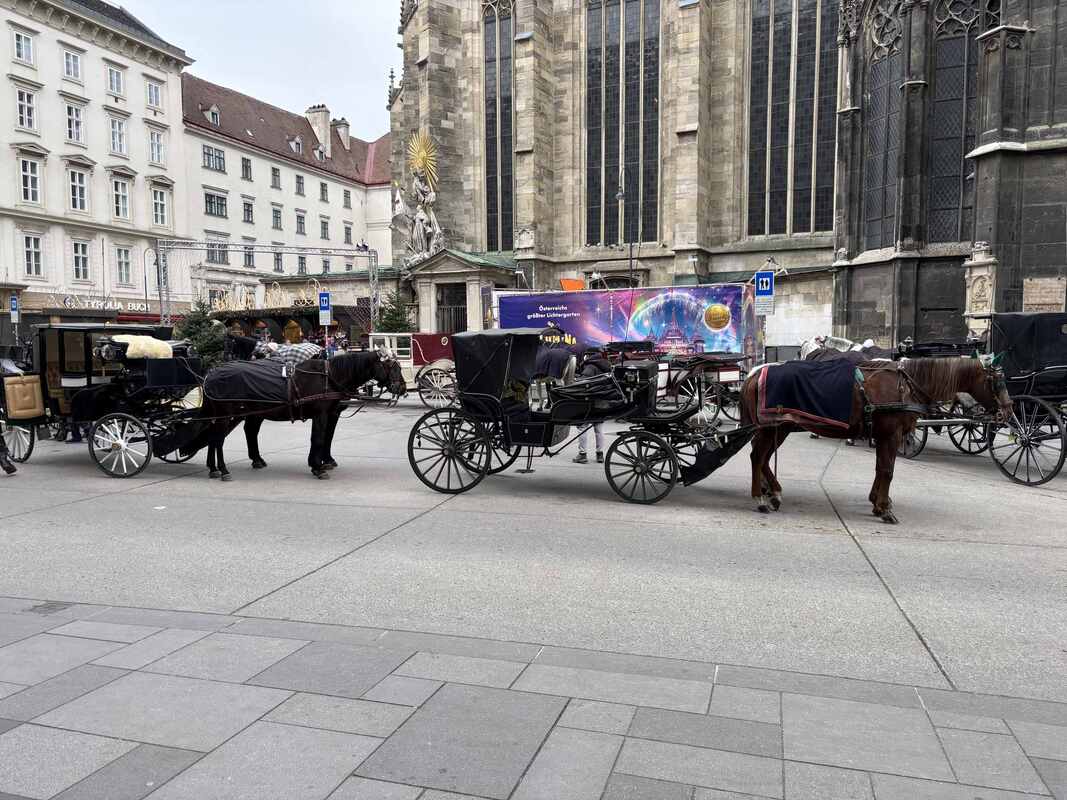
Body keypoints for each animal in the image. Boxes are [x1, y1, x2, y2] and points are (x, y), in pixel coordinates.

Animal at [197, 349, 405, 481]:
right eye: (392, 367)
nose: (402, 388)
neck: (330, 377)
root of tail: (211, 373)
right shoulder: (321, 414)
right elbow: (319, 439)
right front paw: (318, 466)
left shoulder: (331, 414)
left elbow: (327, 438)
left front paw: (323, 462)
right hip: (226, 414)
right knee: (218, 439)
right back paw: (223, 469)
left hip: (249, 413)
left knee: (228, 435)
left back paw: (224, 466)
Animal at [740, 358, 1013, 524]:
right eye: (997, 382)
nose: (1008, 412)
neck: (906, 386)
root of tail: (754, 374)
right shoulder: (891, 435)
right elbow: (887, 470)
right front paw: (884, 508)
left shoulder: (883, 436)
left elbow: (880, 469)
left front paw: (877, 502)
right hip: (771, 428)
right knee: (757, 456)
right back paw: (760, 498)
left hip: (781, 427)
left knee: (763, 458)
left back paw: (773, 491)